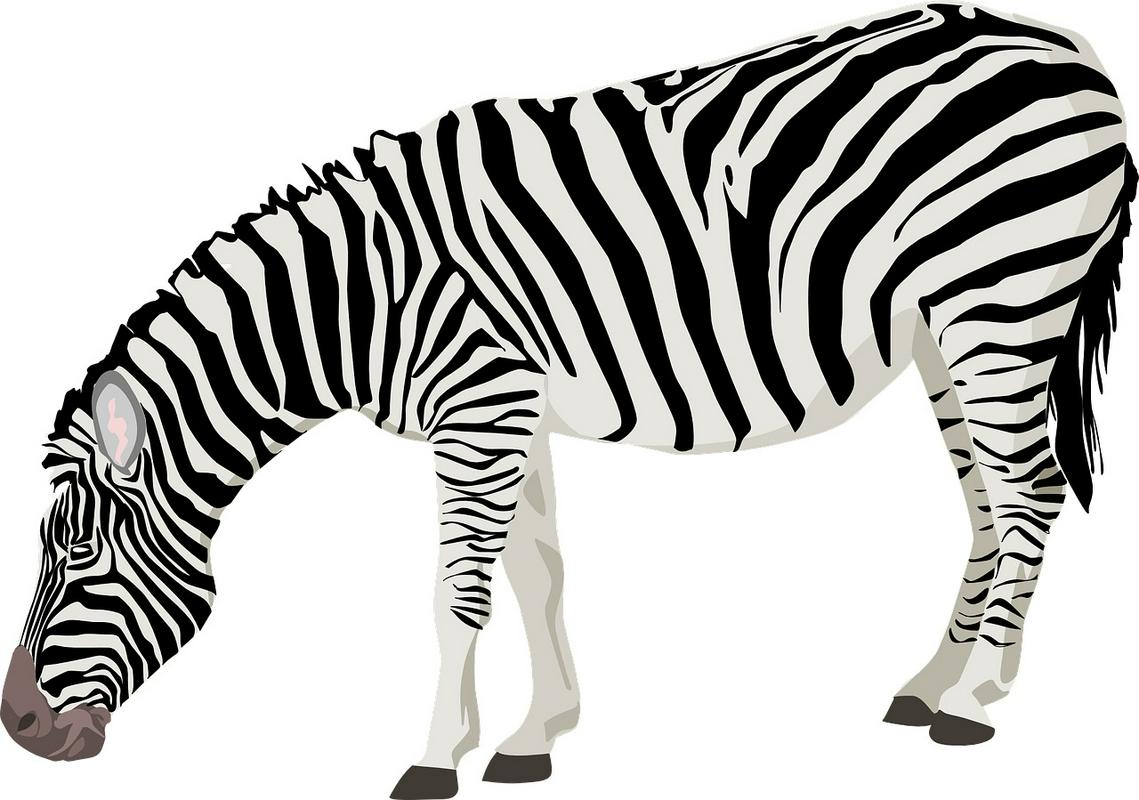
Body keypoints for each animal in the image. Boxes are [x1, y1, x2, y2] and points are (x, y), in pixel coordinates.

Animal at [2, 3, 1133, 798]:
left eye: (78, 554)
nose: (17, 726)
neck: (358, 297)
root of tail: (1074, 49)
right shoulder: (510, 410)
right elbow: (537, 575)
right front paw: (532, 736)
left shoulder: (479, 406)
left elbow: (455, 595)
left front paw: (431, 758)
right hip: (948, 332)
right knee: (988, 502)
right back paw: (936, 680)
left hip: (1000, 298)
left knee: (1028, 489)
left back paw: (976, 702)